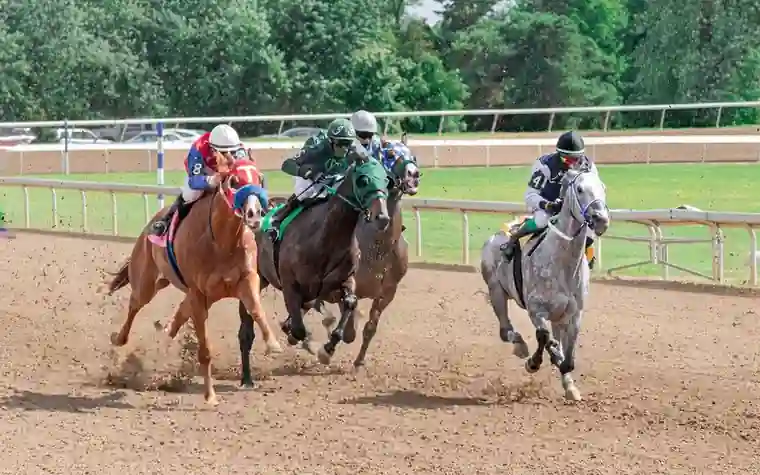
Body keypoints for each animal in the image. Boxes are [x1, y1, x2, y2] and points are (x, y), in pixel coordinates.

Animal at [105, 158, 281, 405]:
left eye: (260, 178)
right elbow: (205, 349)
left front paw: (273, 344)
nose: (255, 214)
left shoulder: (248, 279)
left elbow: (256, 310)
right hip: (147, 281)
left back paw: (163, 337)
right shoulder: (199, 293)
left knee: (179, 313)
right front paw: (210, 395)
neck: (222, 242)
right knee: (135, 305)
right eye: (235, 181)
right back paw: (119, 339)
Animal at [238, 138, 422, 370]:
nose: (413, 175)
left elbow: (361, 321)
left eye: (413, 156)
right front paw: (311, 341)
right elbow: (313, 324)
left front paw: (347, 357)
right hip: (261, 276)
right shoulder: (298, 286)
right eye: (389, 154)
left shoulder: (382, 291)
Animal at [479, 169, 610, 401]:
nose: (601, 220)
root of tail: (498, 234)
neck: (562, 264)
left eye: (603, 187)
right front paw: (533, 362)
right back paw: (520, 346)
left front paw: (569, 383)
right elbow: (543, 336)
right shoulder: (536, 308)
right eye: (579, 189)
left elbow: (568, 357)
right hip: (496, 289)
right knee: (505, 330)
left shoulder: (573, 314)